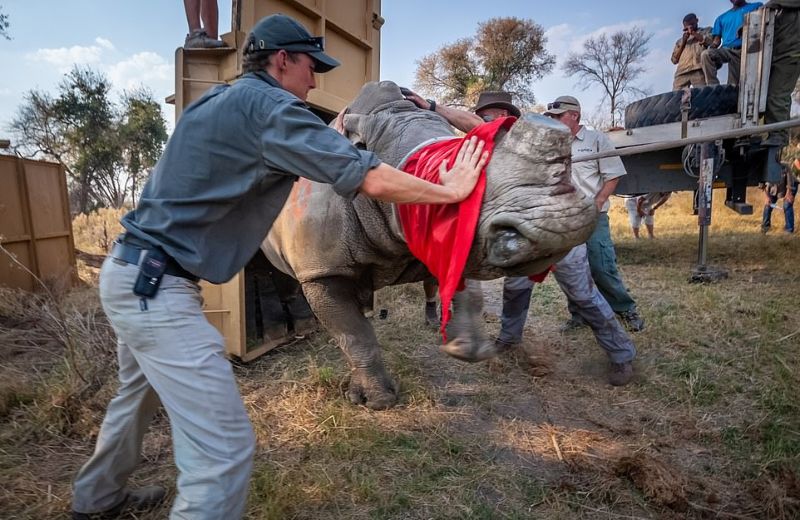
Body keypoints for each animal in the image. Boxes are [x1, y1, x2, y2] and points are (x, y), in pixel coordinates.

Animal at [260, 81, 592, 408]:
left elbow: (468, 291)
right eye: (428, 176)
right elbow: (355, 335)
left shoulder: (454, 235)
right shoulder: (323, 270)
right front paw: (379, 401)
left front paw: (465, 349)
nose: (562, 227)